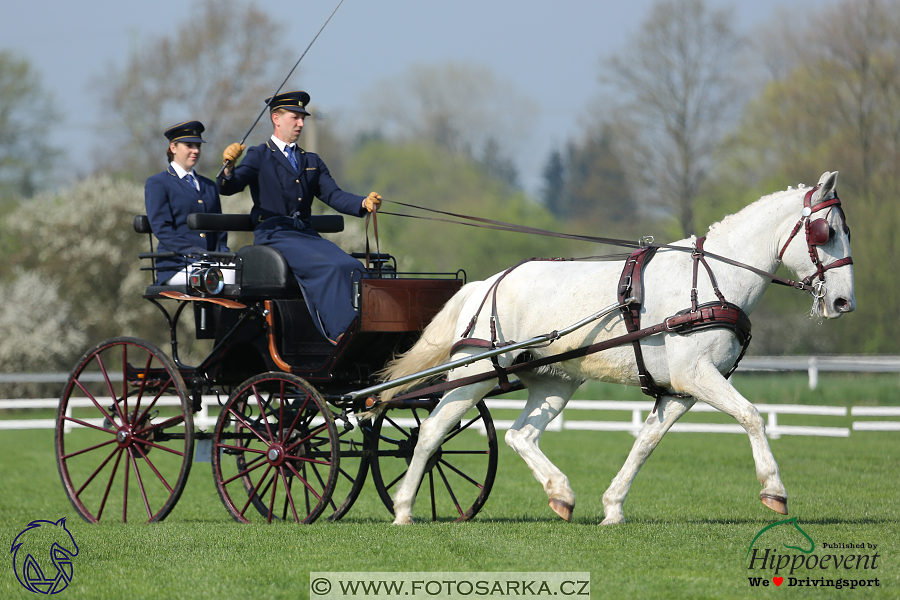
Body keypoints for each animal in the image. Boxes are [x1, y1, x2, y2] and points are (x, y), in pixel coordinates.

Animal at [376, 171, 856, 524]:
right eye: (826, 231)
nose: (843, 302)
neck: (713, 280)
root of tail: (486, 282)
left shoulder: (679, 391)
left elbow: (644, 443)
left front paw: (612, 506)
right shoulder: (696, 375)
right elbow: (752, 415)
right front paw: (774, 489)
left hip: (553, 382)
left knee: (520, 434)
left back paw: (561, 494)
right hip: (471, 376)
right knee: (431, 432)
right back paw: (403, 509)